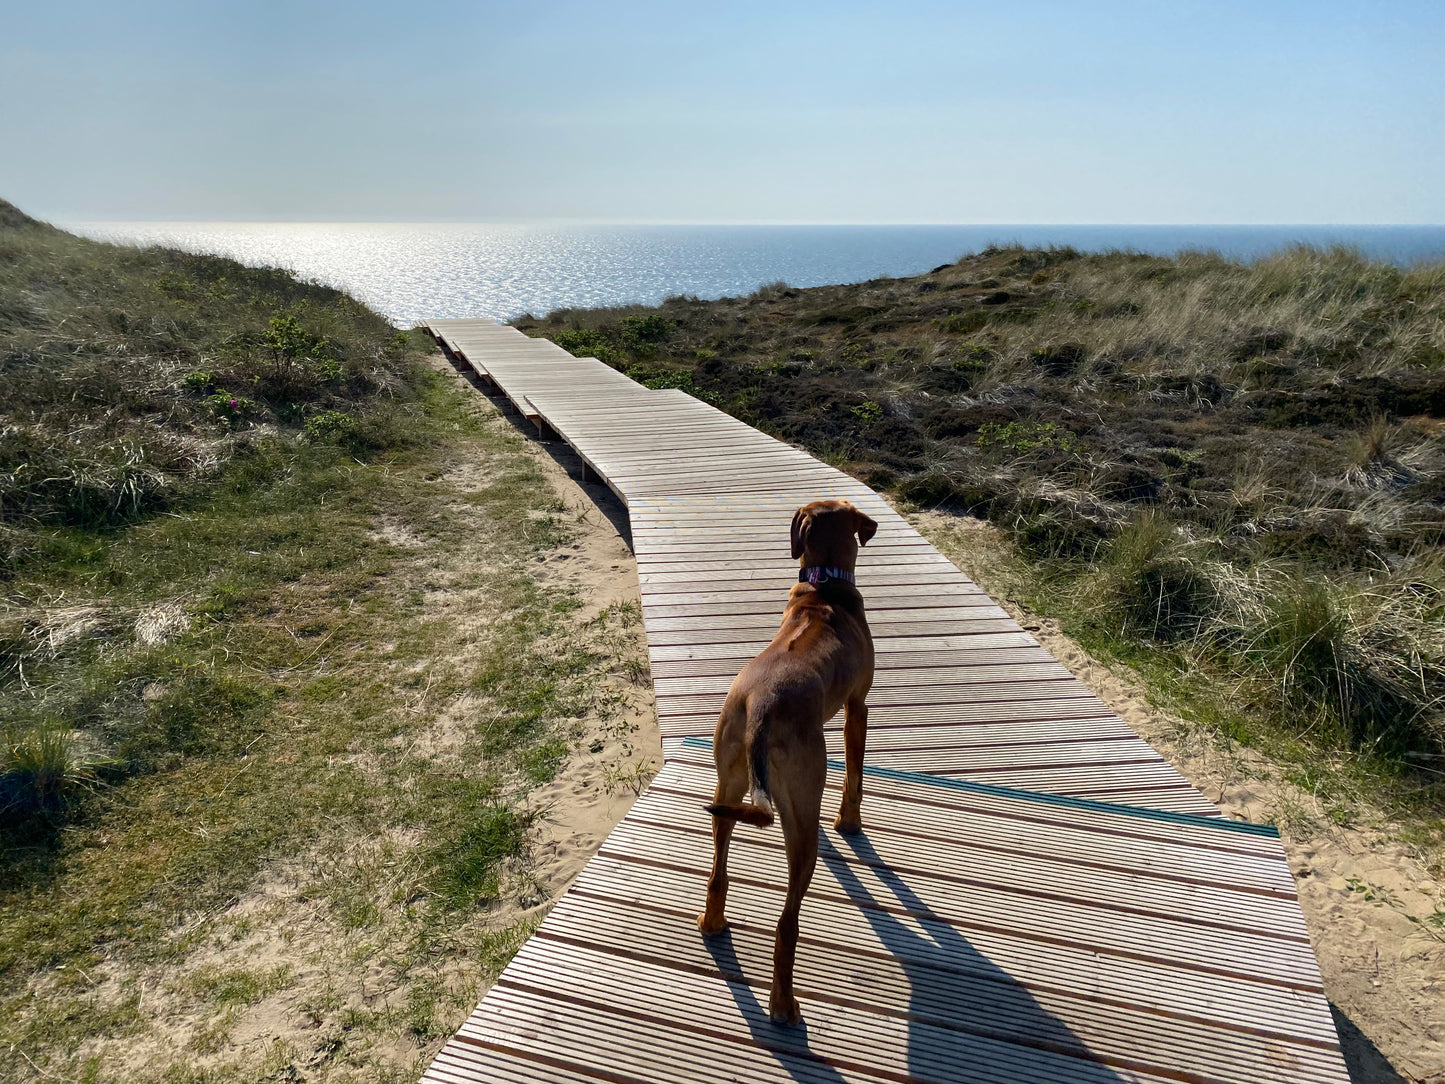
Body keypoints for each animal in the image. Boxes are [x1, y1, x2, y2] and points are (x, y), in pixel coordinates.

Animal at [693, 500, 872, 1029]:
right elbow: (854, 774)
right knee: (786, 923)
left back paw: (712, 923)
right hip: (802, 814)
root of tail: (761, 709)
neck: (823, 584)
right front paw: (849, 823)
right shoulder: (858, 706)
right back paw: (784, 1004)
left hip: (727, 784)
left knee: (718, 868)